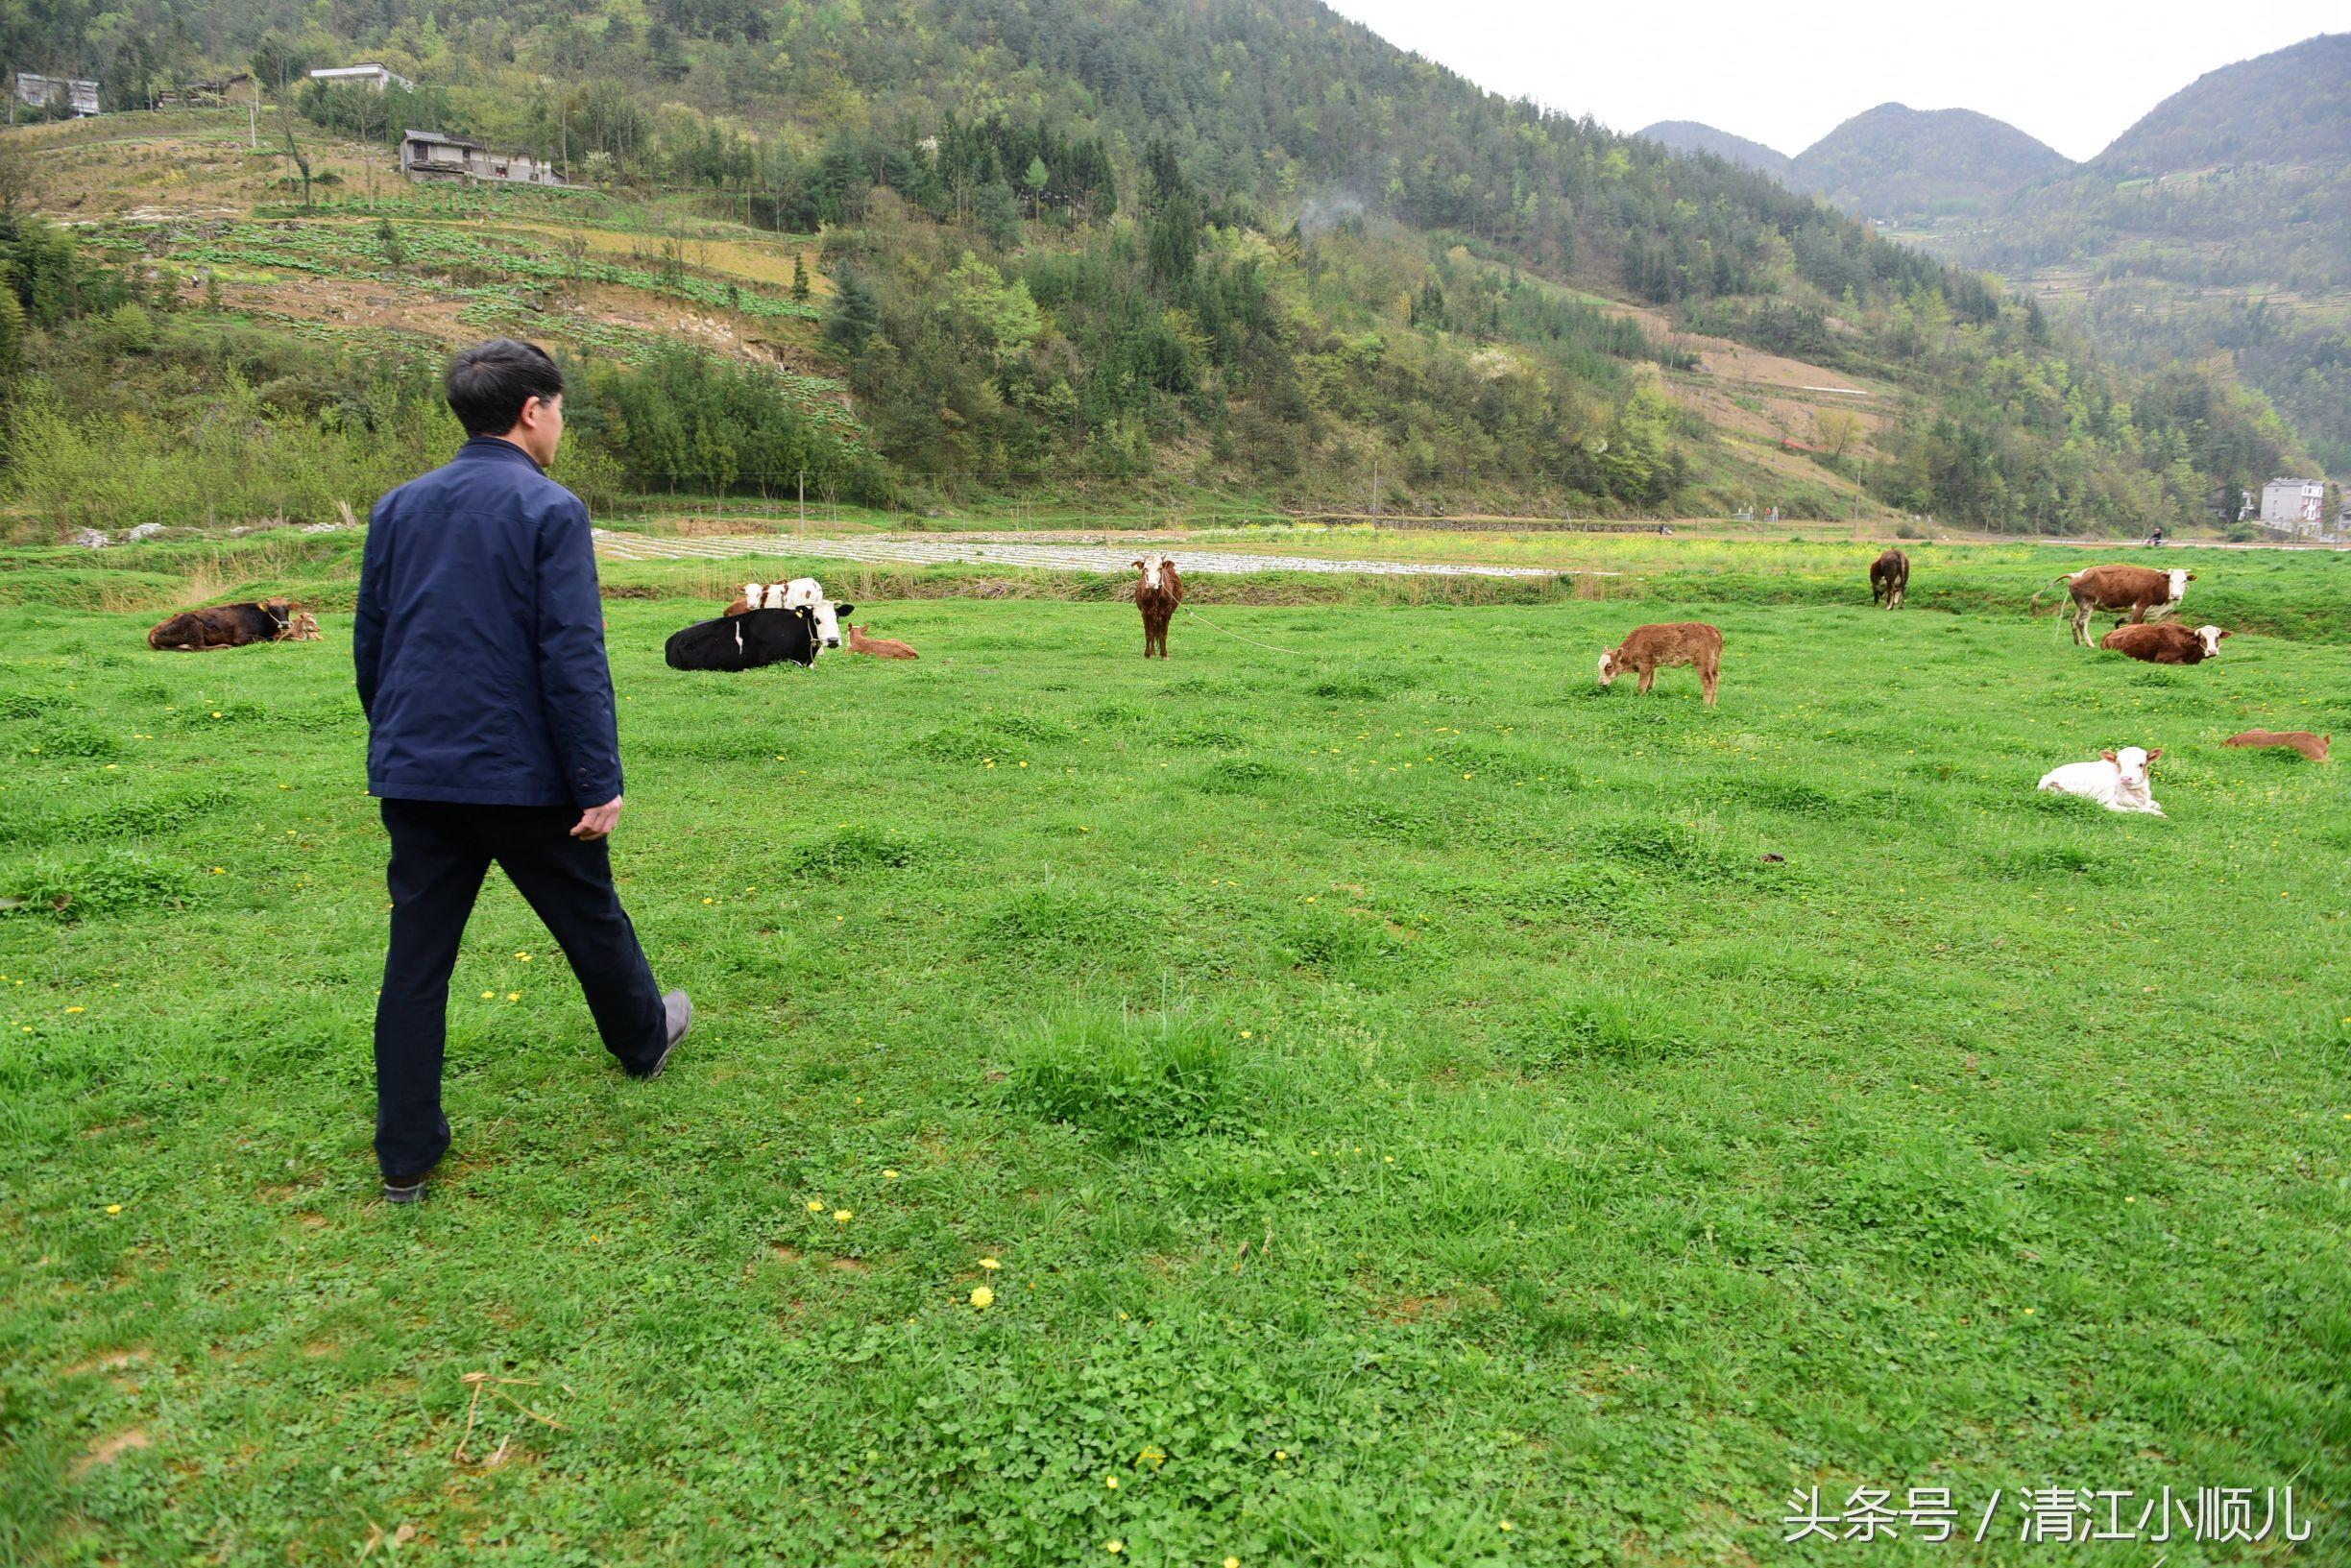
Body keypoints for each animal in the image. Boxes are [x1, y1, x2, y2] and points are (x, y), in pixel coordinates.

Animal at [149, 596, 294, 653]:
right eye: (272, 609)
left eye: (287, 609)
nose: (285, 625)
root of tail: (152, 632)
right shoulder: (241, 637)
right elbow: (265, 639)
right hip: (193, 622)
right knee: (199, 647)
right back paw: (224, 646)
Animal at [1598, 620, 1730, 710]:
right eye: (1599, 666)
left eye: (1609, 666)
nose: (1600, 682)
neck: (1637, 643)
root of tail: (1712, 629)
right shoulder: (1652, 666)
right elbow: (1650, 685)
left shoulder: (1645, 665)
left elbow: (1641, 686)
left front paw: (1640, 699)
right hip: (1714, 663)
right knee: (1716, 679)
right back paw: (1713, 706)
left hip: (1702, 663)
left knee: (1708, 681)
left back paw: (1705, 706)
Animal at [2040, 752, 2163, 822]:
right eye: (2118, 764)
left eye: (2141, 764)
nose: (2126, 778)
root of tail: (2047, 777)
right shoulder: (2108, 802)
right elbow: (2132, 809)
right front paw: (2158, 814)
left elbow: (2157, 804)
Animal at [2049, 567, 2191, 648]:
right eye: (2171, 580)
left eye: (2184, 581)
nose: (2176, 595)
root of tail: (2077, 574)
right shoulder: (2140, 606)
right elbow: (2135, 625)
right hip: (2087, 604)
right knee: (2082, 623)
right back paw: (2090, 644)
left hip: (2081, 605)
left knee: (2073, 620)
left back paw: (2078, 642)